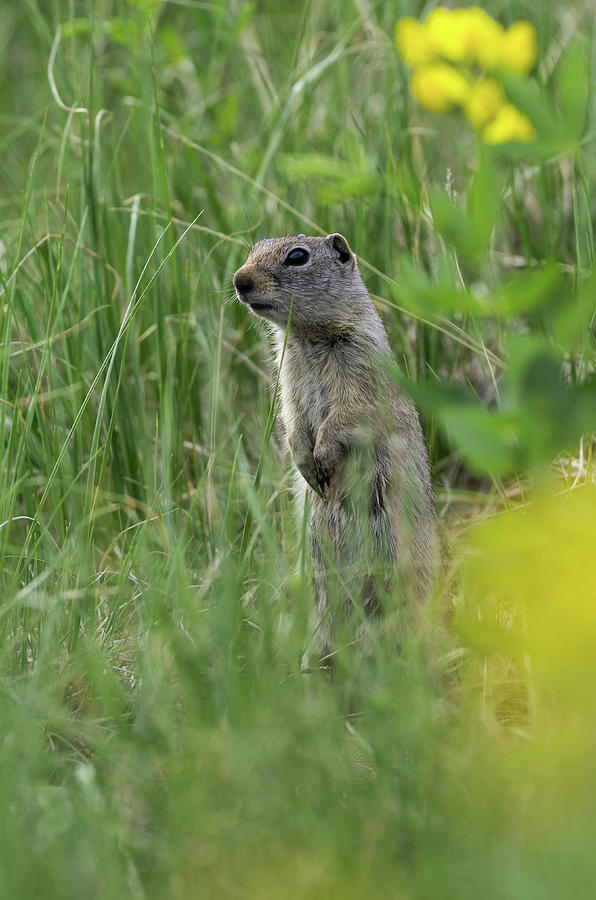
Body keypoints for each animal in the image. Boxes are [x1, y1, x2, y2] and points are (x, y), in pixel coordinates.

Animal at [233, 232, 438, 660]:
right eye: (252, 250)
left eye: (297, 256)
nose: (239, 280)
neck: (307, 337)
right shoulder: (288, 380)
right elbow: (292, 420)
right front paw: (305, 463)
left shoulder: (360, 371)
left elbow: (348, 415)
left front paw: (323, 458)